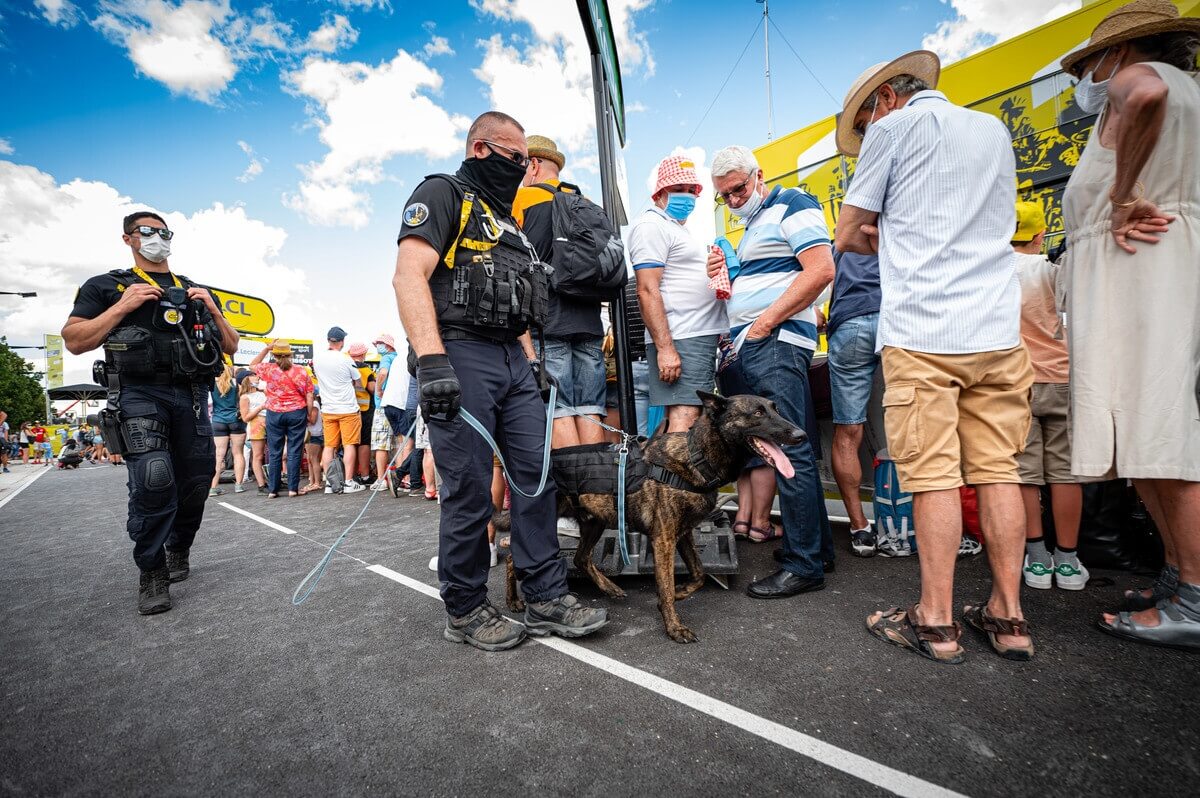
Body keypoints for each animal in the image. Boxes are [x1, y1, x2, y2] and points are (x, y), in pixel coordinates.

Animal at [501, 388, 801, 643]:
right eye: (758, 413)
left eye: (774, 408)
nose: (801, 435)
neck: (696, 457)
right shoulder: (664, 540)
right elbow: (666, 586)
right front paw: (674, 626)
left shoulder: (684, 535)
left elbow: (700, 574)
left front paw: (681, 593)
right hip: (544, 525)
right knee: (513, 555)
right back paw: (513, 601)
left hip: (596, 522)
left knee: (580, 558)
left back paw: (610, 588)